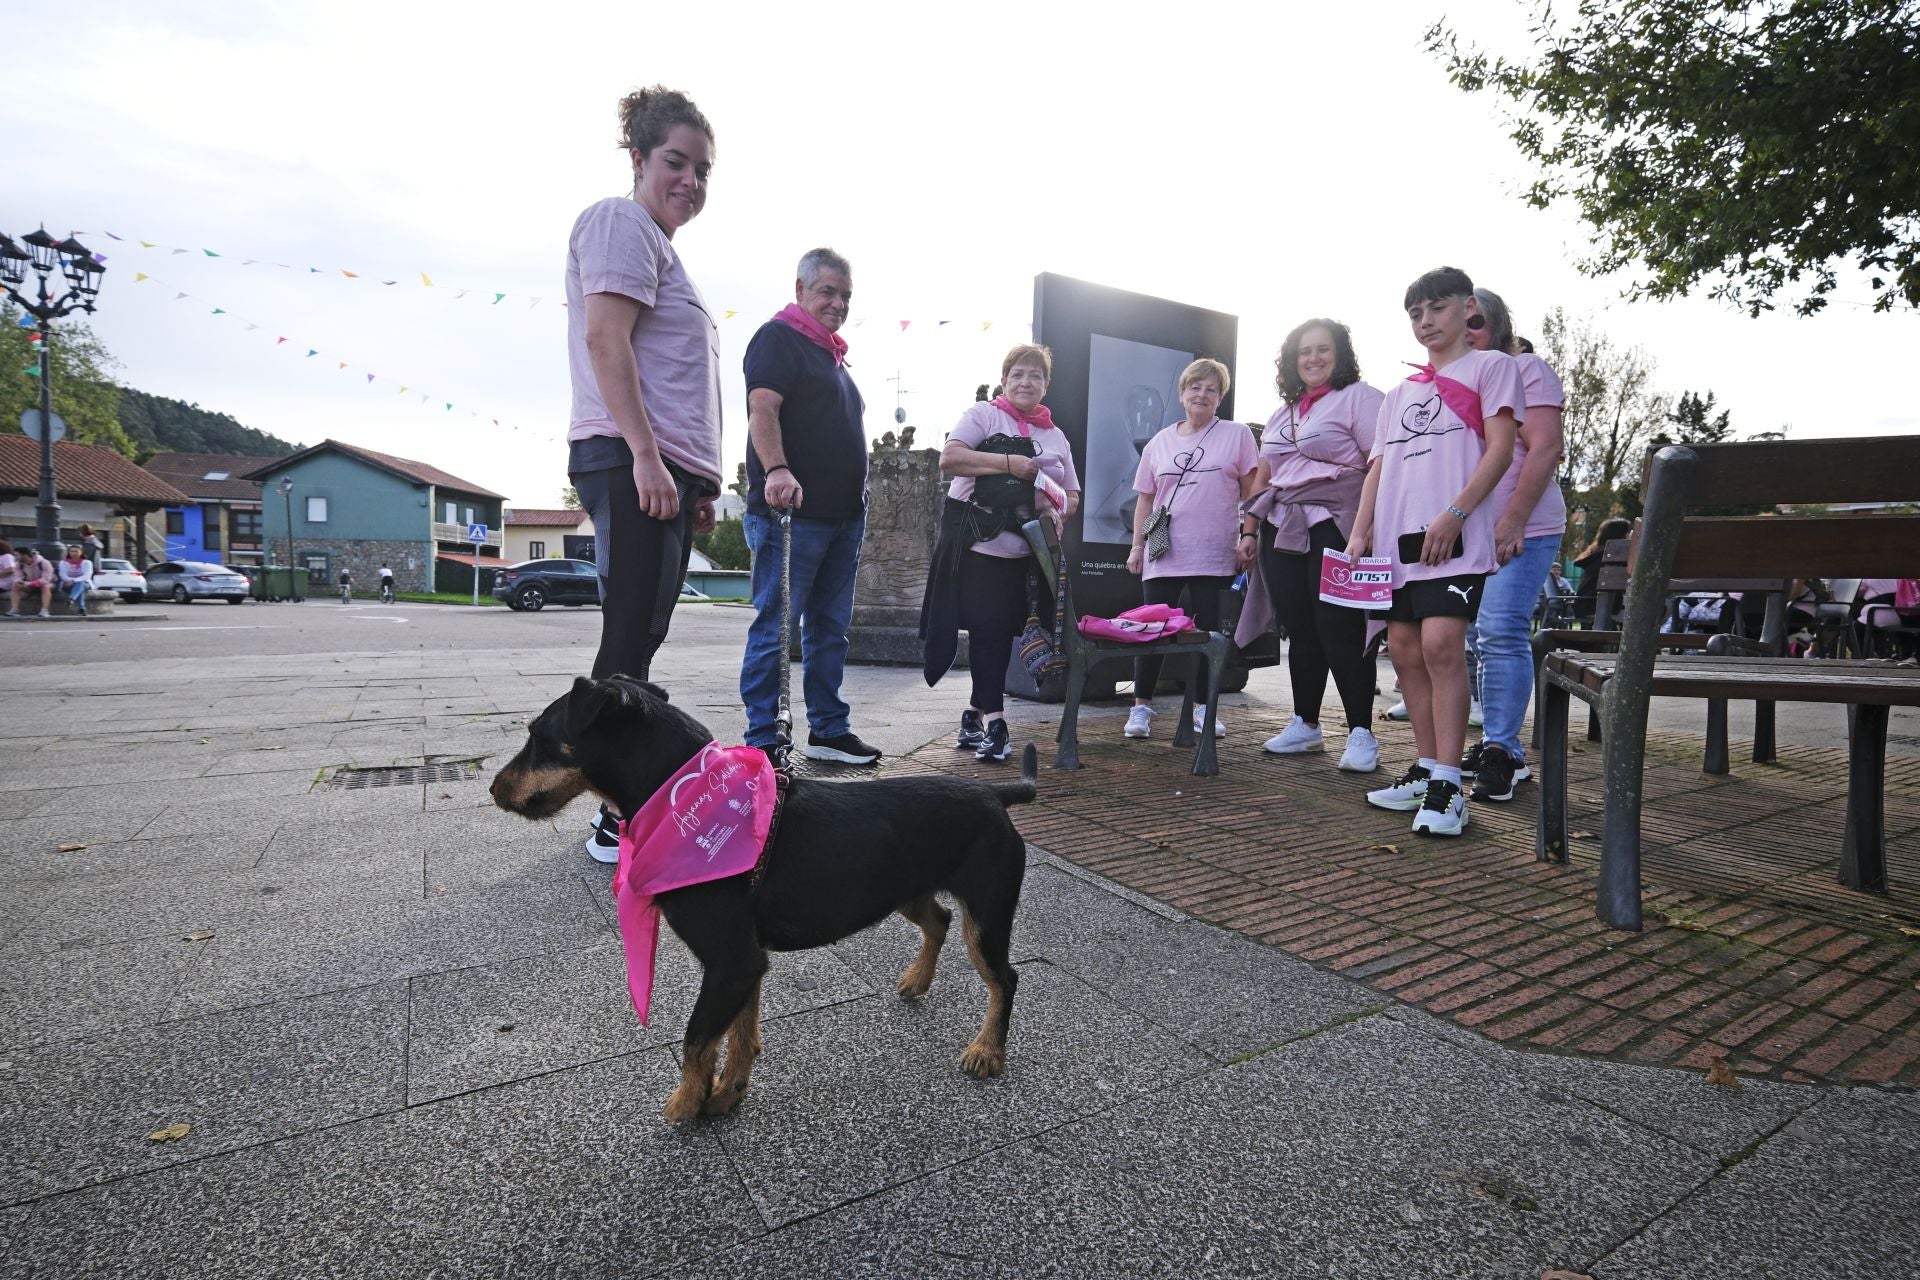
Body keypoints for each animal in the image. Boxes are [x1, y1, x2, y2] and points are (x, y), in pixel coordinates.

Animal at [495, 675, 1036, 1128]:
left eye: (538, 736)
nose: (495, 790)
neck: (684, 800)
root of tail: (997, 797)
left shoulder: (732, 960)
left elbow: (697, 1038)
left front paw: (685, 1104)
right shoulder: (746, 962)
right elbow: (741, 1032)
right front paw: (727, 1092)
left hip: (987, 914)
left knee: (1003, 977)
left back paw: (987, 1051)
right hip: (904, 889)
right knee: (939, 919)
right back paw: (917, 981)